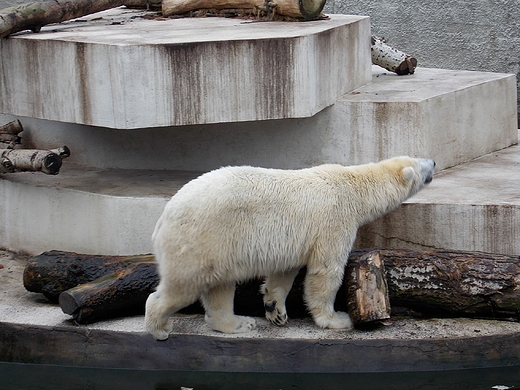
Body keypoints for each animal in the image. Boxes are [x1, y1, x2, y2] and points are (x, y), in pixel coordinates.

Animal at [143, 155, 434, 338]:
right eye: (420, 166)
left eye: (419, 157)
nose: (433, 161)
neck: (352, 184)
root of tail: (162, 219)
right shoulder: (334, 220)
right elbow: (325, 271)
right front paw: (336, 319)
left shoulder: (293, 240)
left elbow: (283, 273)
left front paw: (276, 311)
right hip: (200, 238)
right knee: (183, 286)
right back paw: (160, 328)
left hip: (219, 246)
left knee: (220, 286)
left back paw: (239, 324)